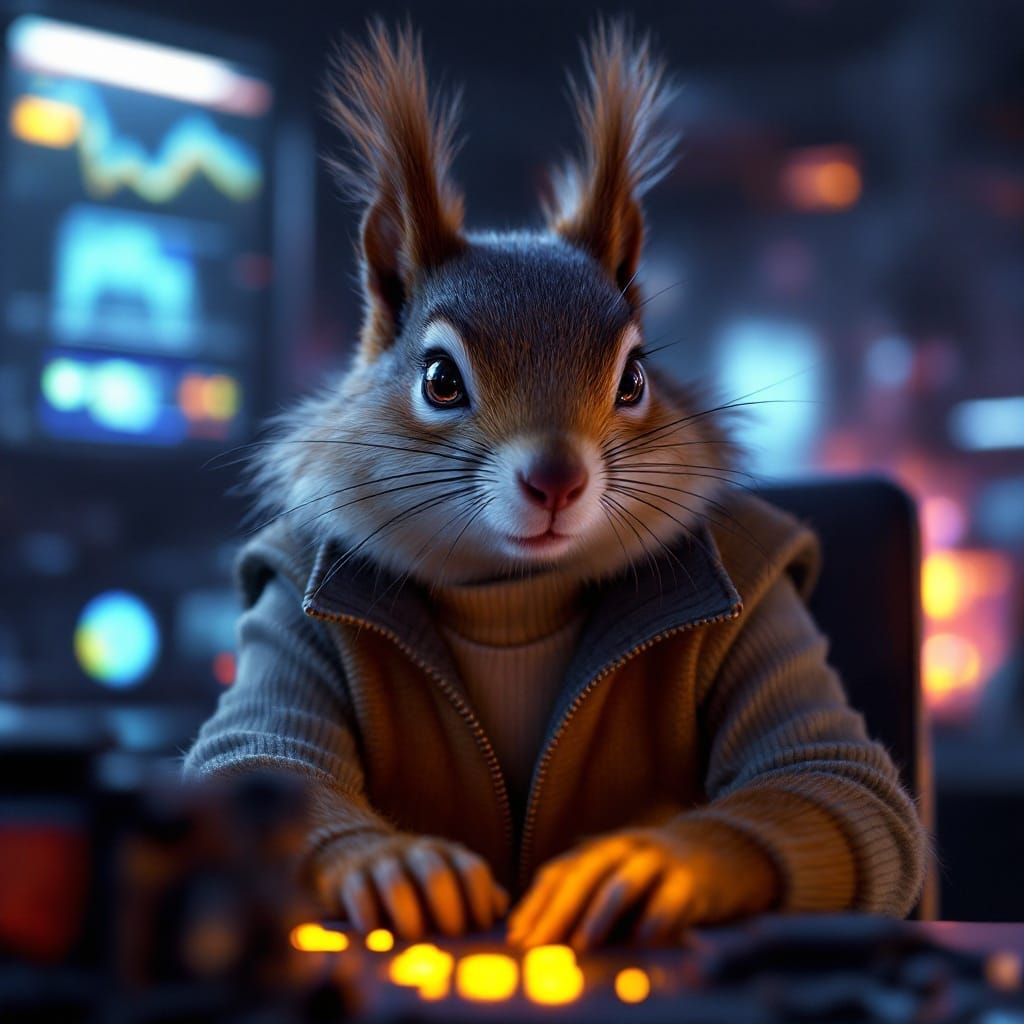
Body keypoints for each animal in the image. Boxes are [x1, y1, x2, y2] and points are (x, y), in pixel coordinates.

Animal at [187, 21, 926, 949]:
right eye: (439, 379)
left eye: (636, 376)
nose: (556, 480)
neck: (514, 595)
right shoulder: (289, 598)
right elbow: (252, 756)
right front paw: (387, 863)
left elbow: (834, 771)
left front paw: (652, 862)